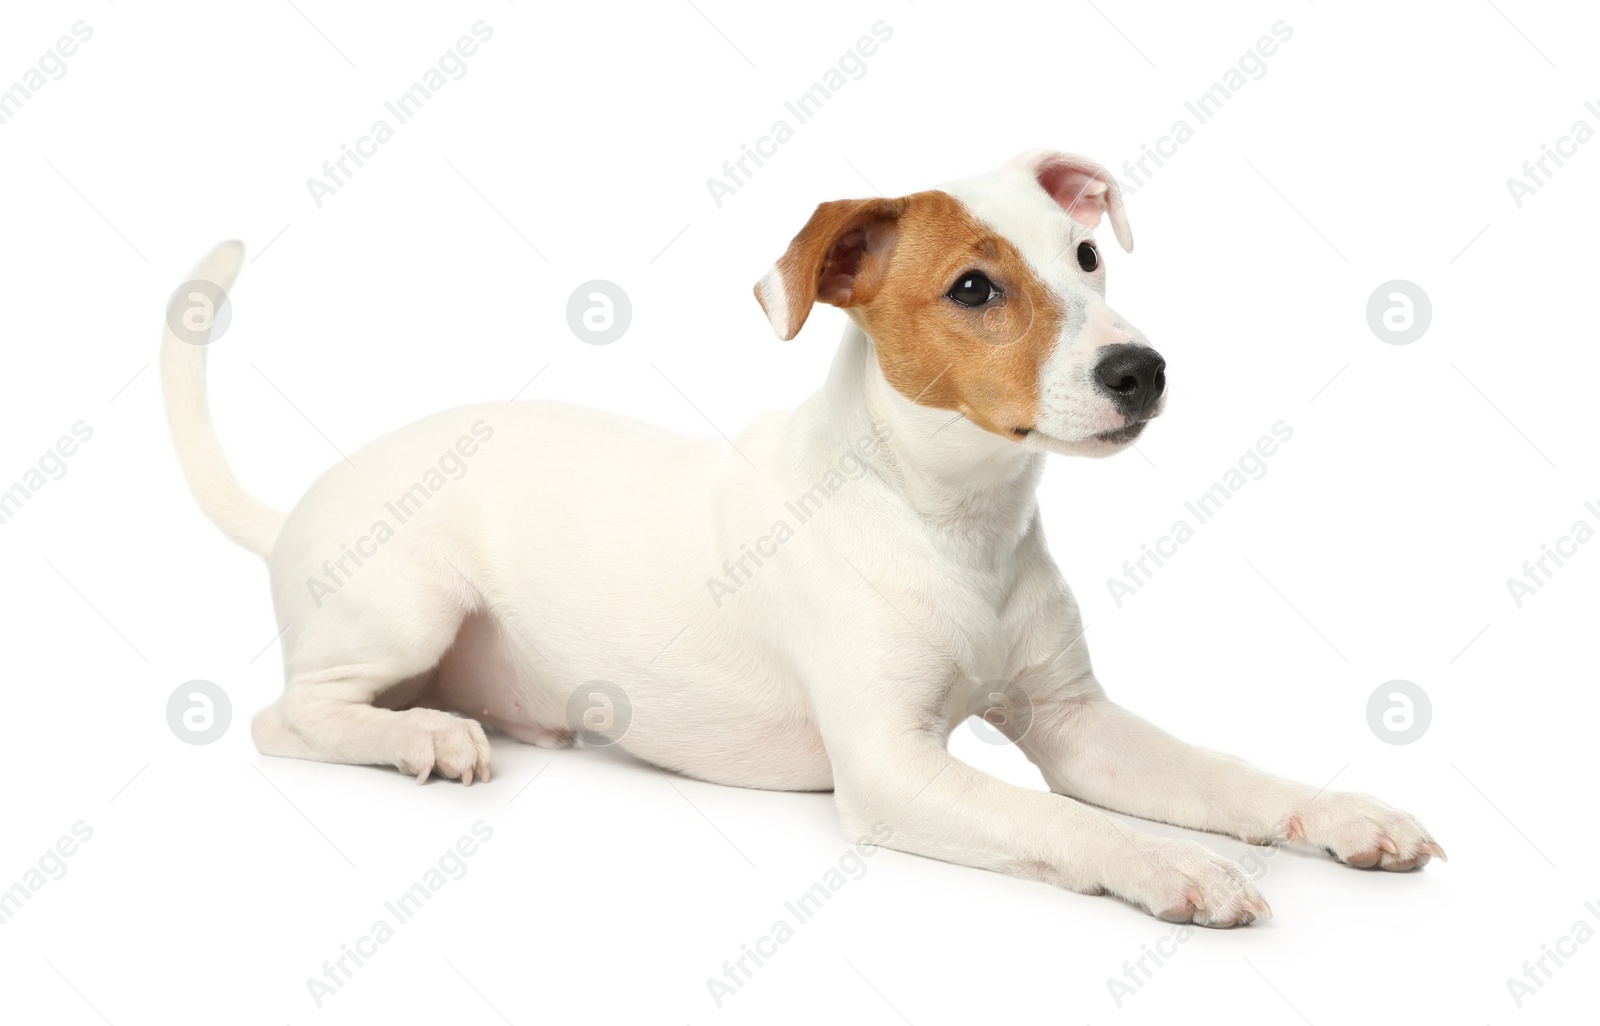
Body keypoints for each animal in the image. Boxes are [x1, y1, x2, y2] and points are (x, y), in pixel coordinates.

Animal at [165, 148, 1452, 921]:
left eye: (1087, 257)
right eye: (975, 289)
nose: (1141, 369)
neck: (952, 518)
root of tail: (306, 500)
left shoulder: (1078, 724)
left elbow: (1216, 772)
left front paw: (1342, 815)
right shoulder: (890, 767)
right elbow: (1058, 817)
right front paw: (1174, 862)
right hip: (406, 600)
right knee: (290, 716)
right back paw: (419, 737)